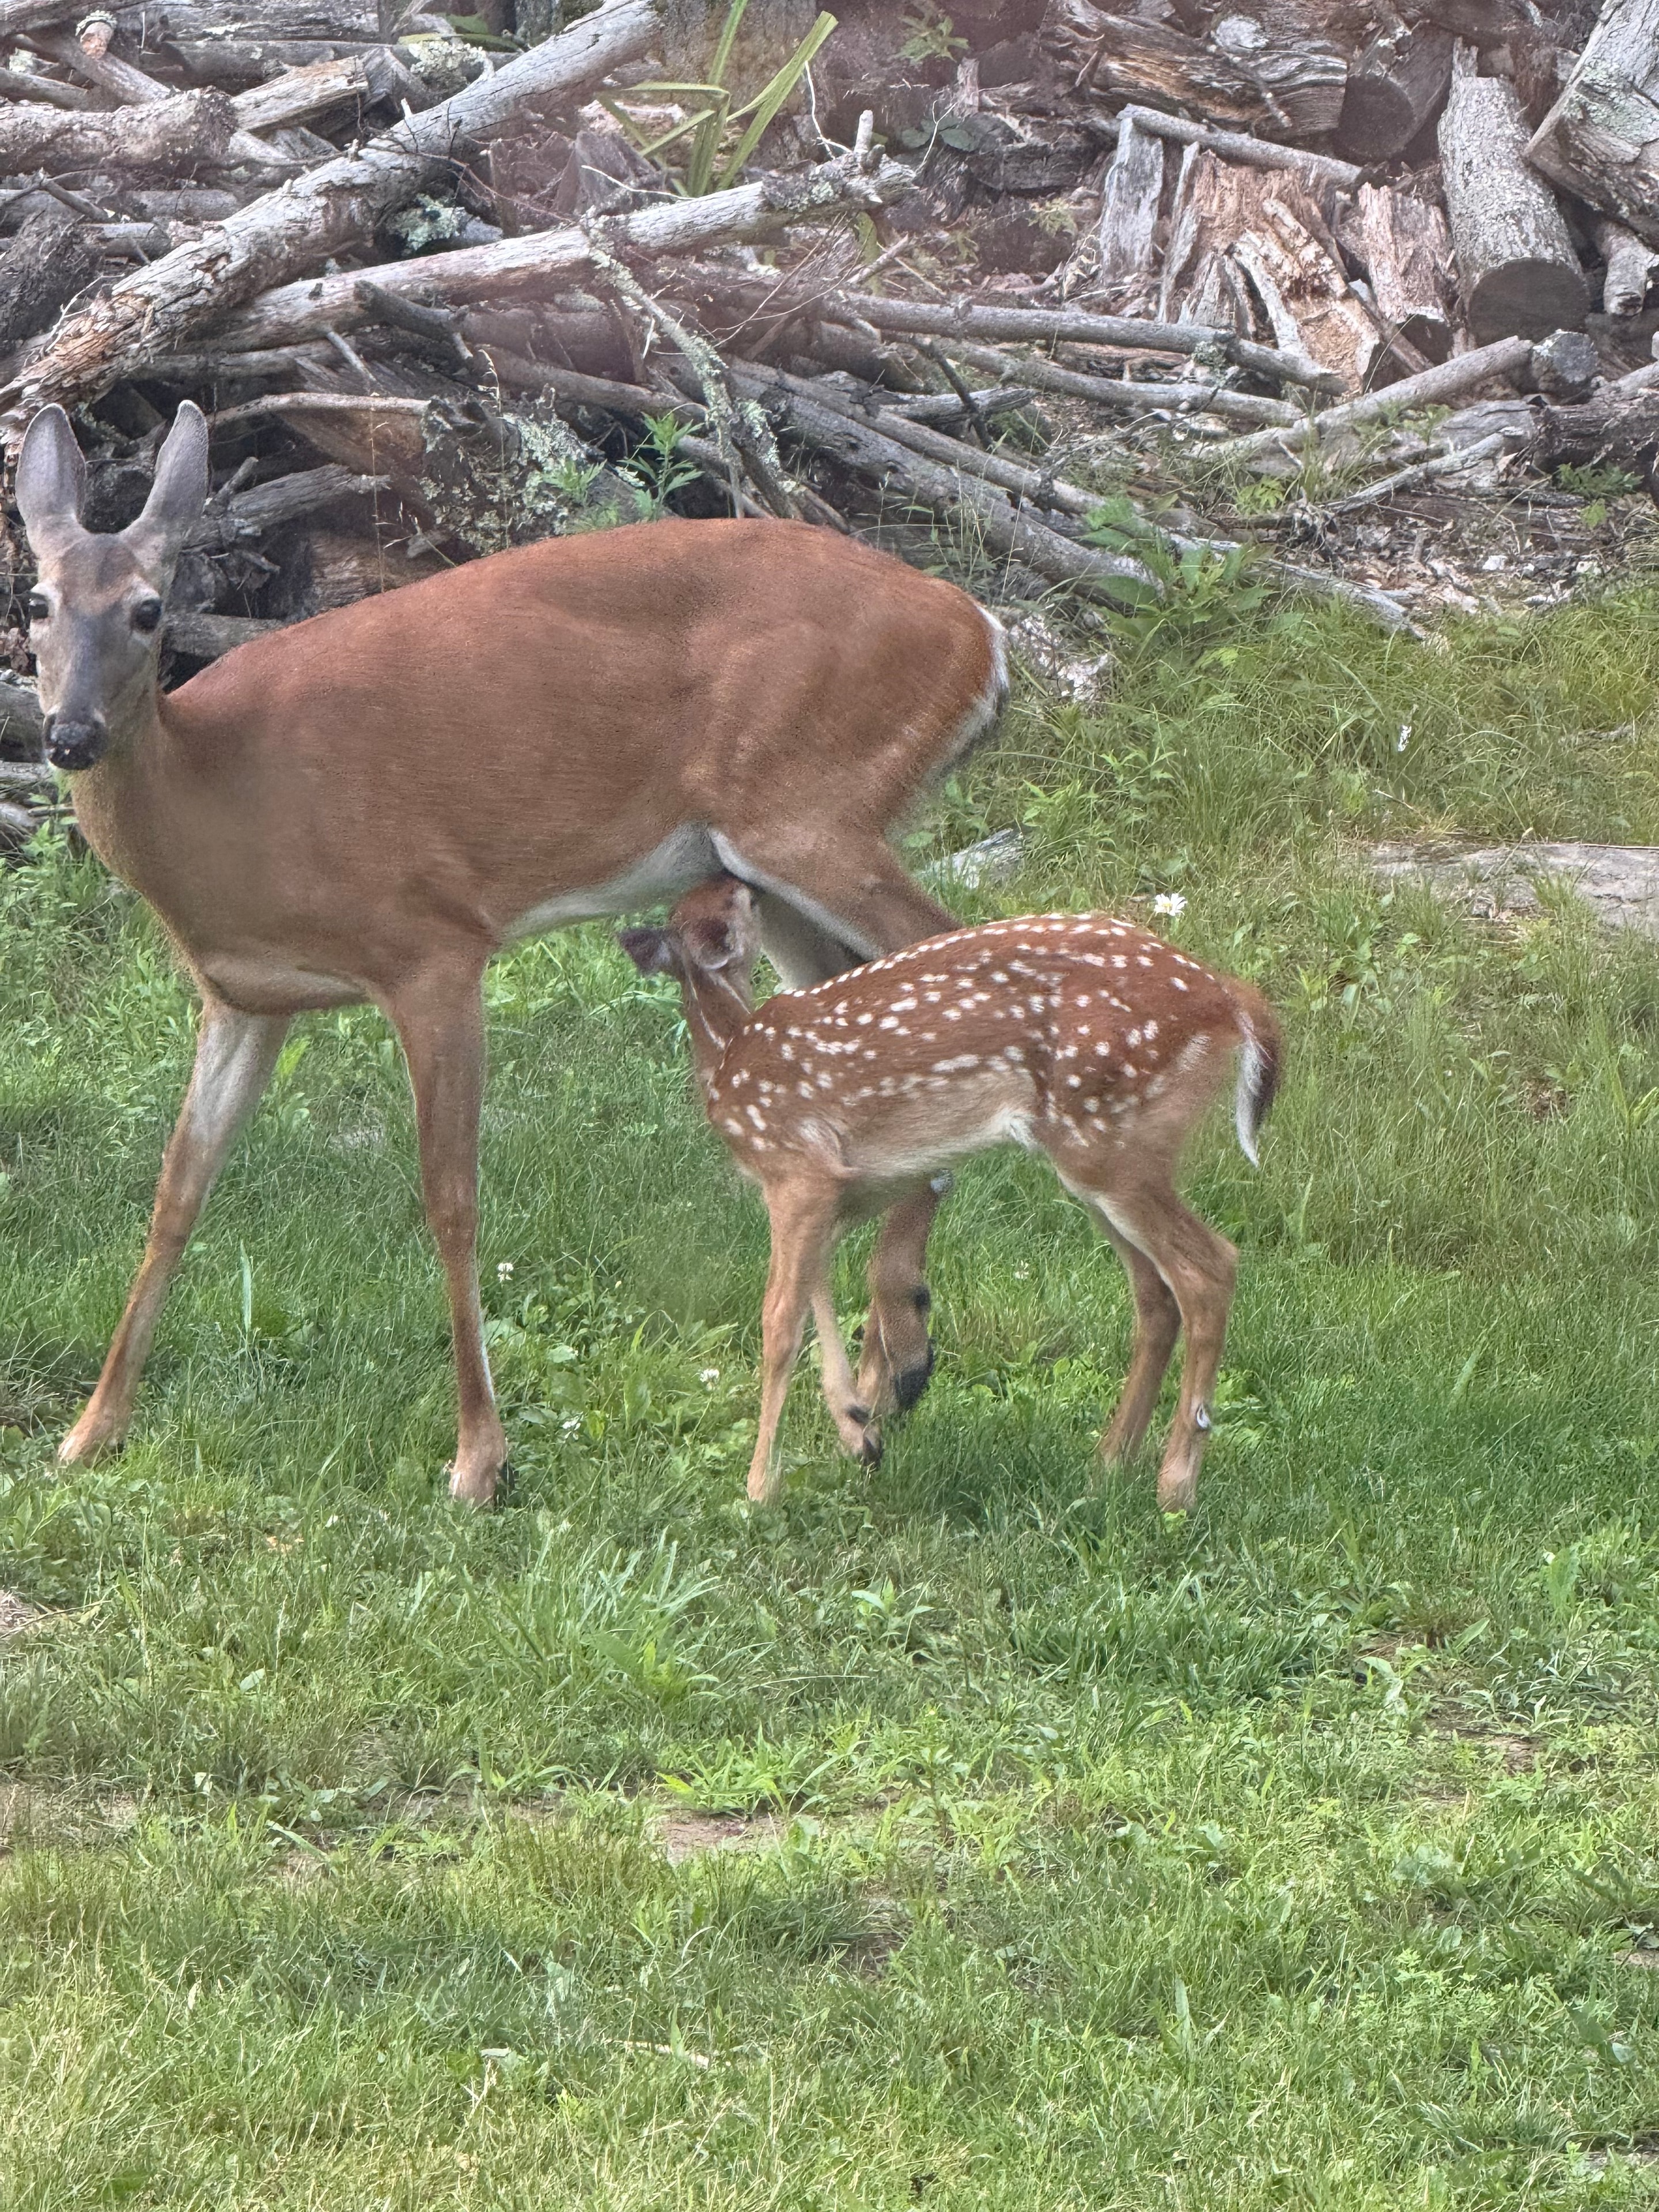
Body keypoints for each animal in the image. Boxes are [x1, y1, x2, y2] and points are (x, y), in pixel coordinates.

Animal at [15, 399, 1008, 1504]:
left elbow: (450, 1200)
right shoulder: (244, 998)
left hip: (810, 809)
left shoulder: (433, 944)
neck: (221, 800)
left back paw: (901, 1350)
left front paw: (479, 1459)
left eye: (150, 612)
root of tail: (979, 631)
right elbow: (176, 1194)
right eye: (37, 601)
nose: (68, 734)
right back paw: (884, 1369)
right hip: (774, 858)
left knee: (952, 955)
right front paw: (91, 1432)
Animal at [619, 876, 1282, 1511]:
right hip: (1105, 1157)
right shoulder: (834, 1195)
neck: (727, 1058)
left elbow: (779, 1322)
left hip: (1110, 1144)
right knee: (1157, 1292)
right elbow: (817, 1299)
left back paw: (1176, 1486)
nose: (747, 882)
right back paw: (1108, 1466)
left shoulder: (800, 1172)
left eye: (734, 899)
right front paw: (858, 1431)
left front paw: (760, 1489)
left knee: (1209, 1268)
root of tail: (1229, 998)